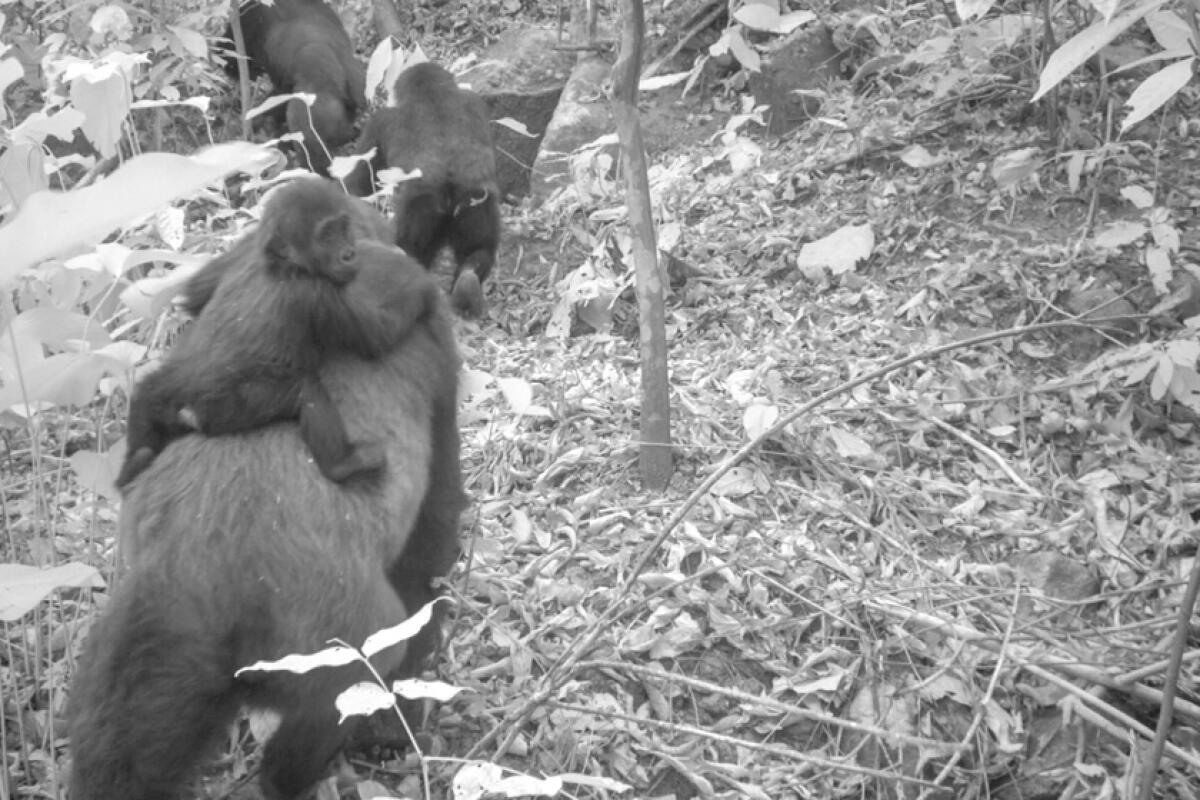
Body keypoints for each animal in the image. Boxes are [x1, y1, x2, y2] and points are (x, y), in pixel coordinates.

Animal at [68, 209, 463, 796]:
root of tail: (190, 580)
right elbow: (429, 549)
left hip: (141, 643)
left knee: (120, 748)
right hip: (332, 651)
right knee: (337, 697)